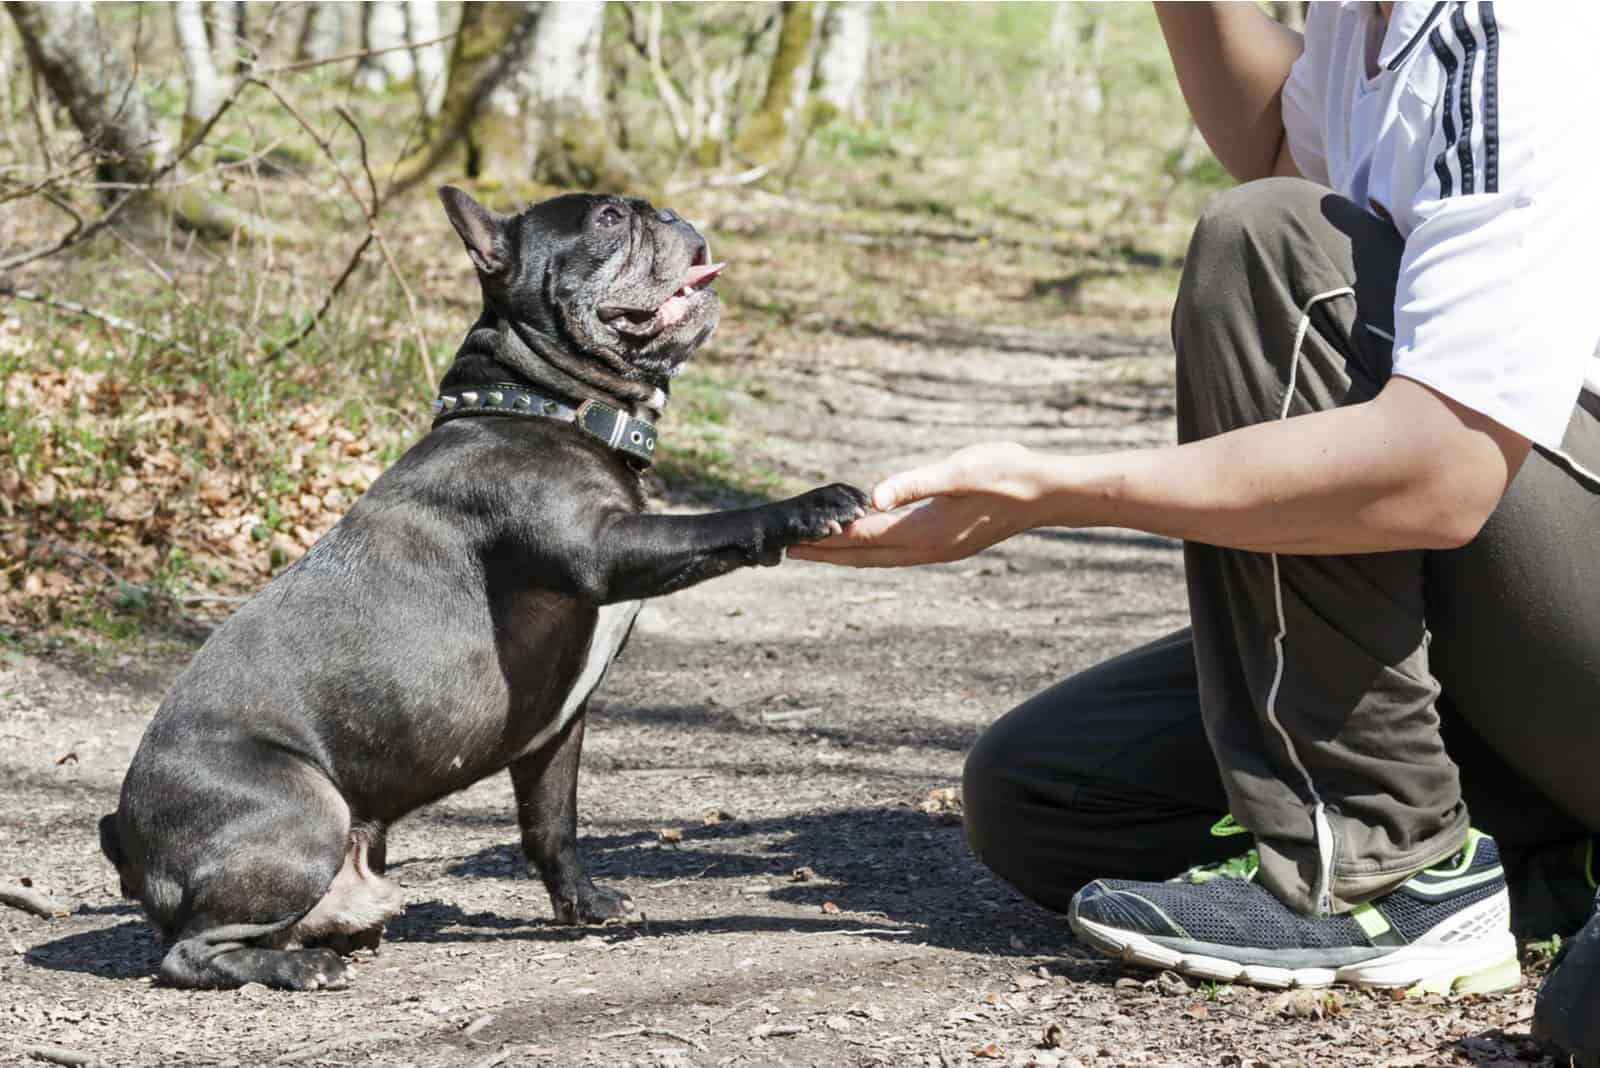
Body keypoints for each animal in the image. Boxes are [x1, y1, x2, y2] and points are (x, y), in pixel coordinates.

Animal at [101, 185, 870, 991]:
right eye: (607, 220)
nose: (663, 212)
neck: (541, 405)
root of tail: (126, 836)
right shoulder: (602, 549)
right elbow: (714, 525)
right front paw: (808, 505)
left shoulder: (559, 732)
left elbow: (551, 824)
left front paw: (583, 904)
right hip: (301, 810)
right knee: (190, 951)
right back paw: (297, 966)